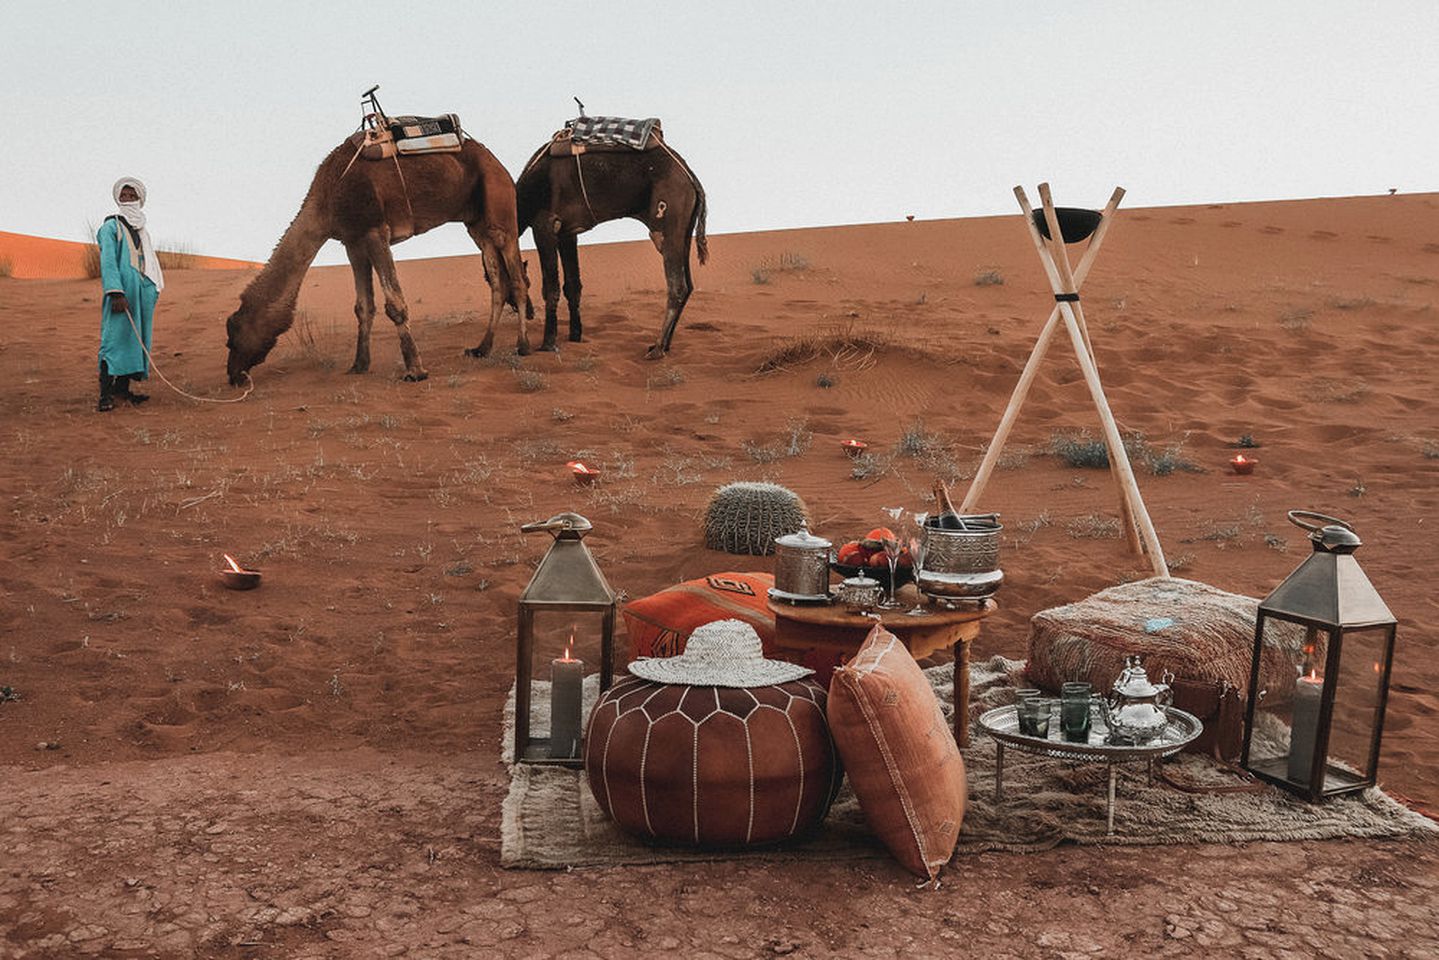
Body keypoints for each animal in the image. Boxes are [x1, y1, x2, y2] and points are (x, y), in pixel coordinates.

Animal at [227, 138, 532, 385]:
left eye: (234, 332)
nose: (233, 375)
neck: (327, 197)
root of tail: (498, 163)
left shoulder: (375, 231)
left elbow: (395, 303)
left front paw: (415, 370)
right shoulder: (353, 242)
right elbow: (363, 307)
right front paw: (359, 365)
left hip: (500, 208)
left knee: (516, 279)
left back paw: (524, 346)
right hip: (476, 224)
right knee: (497, 282)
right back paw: (481, 348)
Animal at [518, 133, 707, 358]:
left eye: (527, 283)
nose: (529, 313)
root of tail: (691, 178)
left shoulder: (544, 224)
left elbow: (550, 287)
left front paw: (548, 344)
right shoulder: (567, 232)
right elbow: (572, 285)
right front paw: (575, 336)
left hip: (668, 221)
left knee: (677, 285)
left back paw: (658, 348)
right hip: (684, 230)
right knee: (688, 284)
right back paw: (665, 345)